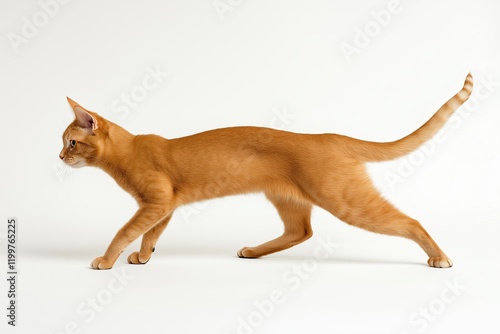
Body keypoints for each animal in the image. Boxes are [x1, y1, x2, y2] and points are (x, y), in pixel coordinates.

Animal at [59, 73, 472, 268]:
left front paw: (106, 260)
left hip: (346, 199)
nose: (59, 157)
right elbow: (150, 234)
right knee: (300, 231)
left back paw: (439, 257)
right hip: (287, 198)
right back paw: (254, 251)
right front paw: (144, 256)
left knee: (411, 221)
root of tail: (328, 136)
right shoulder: (164, 205)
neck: (130, 150)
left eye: (71, 143)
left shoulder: (156, 201)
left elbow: (125, 231)